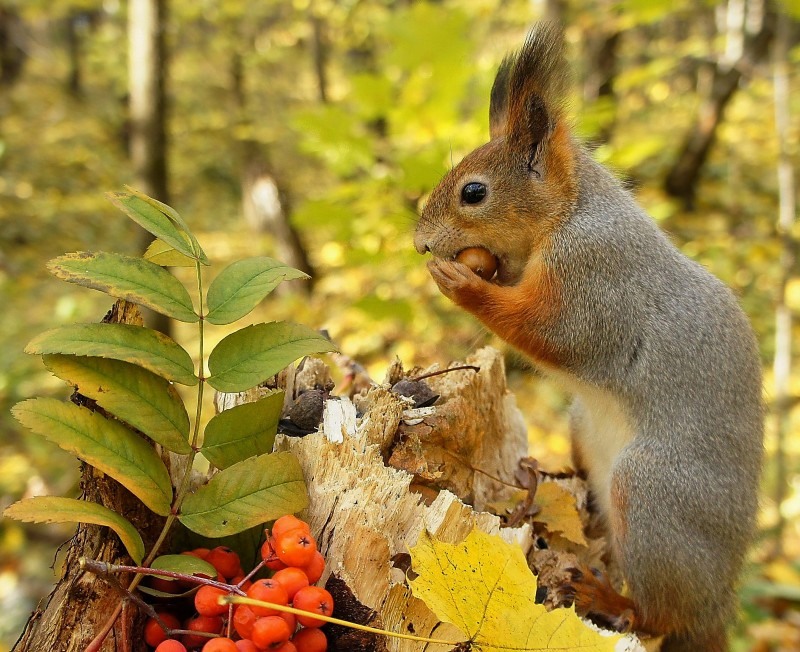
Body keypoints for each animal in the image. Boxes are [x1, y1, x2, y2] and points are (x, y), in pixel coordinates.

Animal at [412, 22, 764, 648]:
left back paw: (608, 596)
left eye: (474, 193)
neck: (571, 212)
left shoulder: (593, 281)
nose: (420, 243)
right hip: (584, 428)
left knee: (657, 614)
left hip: (653, 500)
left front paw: (463, 284)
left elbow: (551, 332)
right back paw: (545, 477)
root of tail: (717, 606)